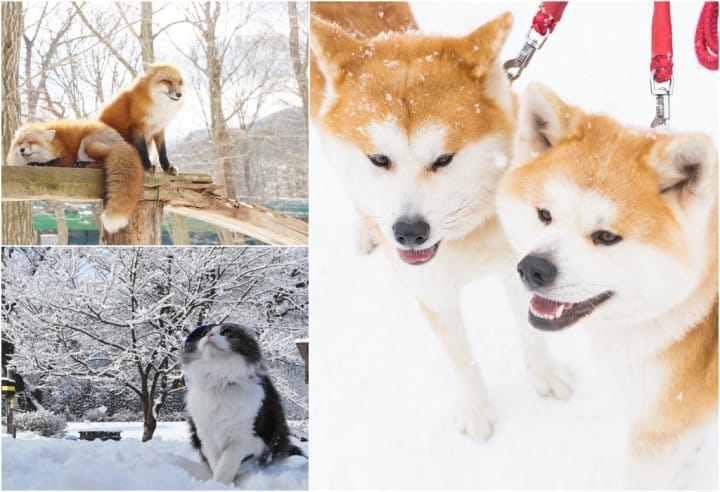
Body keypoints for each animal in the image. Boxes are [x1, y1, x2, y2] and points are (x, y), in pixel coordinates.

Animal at [7, 120, 144, 234]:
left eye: (31, 142)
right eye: (20, 143)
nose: (22, 149)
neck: (53, 145)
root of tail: (122, 143)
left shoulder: (67, 157)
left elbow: (50, 162)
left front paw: (37, 163)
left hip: (88, 145)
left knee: (105, 160)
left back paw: (82, 164)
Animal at [183, 322, 304, 484]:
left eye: (226, 332)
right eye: (204, 333)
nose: (209, 335)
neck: (220, 380)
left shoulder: (247, 436)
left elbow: (227, 462)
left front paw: (220, 484)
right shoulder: (206, 436)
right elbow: (216, 462)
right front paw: (217, 483)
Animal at [310, 0, 572, 438]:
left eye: (444, 159)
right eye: (379, 159)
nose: (409, 233)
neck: (465, 233)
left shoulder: (519, 264)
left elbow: (531, 330)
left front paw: (545, 374)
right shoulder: (433, 293)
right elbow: (462, 360)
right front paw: (477, 410)